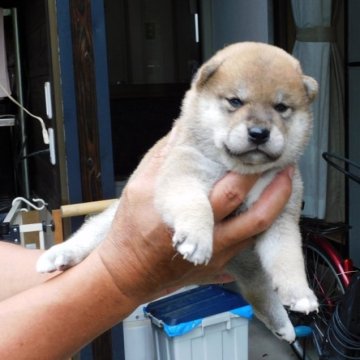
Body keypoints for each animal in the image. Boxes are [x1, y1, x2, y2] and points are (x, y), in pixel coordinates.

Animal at [36, 43, 318, 344]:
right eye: (235, 101)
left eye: (281, 107)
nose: (259, 133)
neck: (242, 170)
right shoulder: (182, 176)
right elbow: (196, 205)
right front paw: (197, 237)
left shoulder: (281, 216)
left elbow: (288, 257)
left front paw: (300, 293)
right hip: (107, 224)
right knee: (88, 238)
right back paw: (59, 256)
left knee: (258, 290)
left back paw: (282, 325)